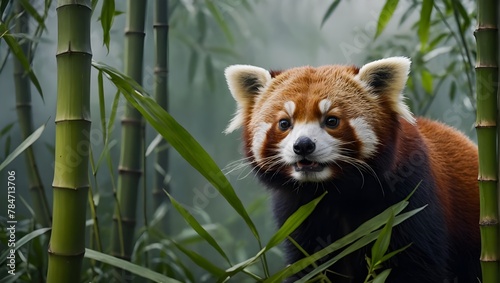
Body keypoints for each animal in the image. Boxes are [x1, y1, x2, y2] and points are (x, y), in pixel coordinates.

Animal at [225, 57, 478, 283]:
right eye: (284, 123)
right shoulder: (296, 213)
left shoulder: (410, 194)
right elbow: (307, 267)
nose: (303, 145)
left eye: (331, 121)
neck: (335, 192)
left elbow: (417, 266)